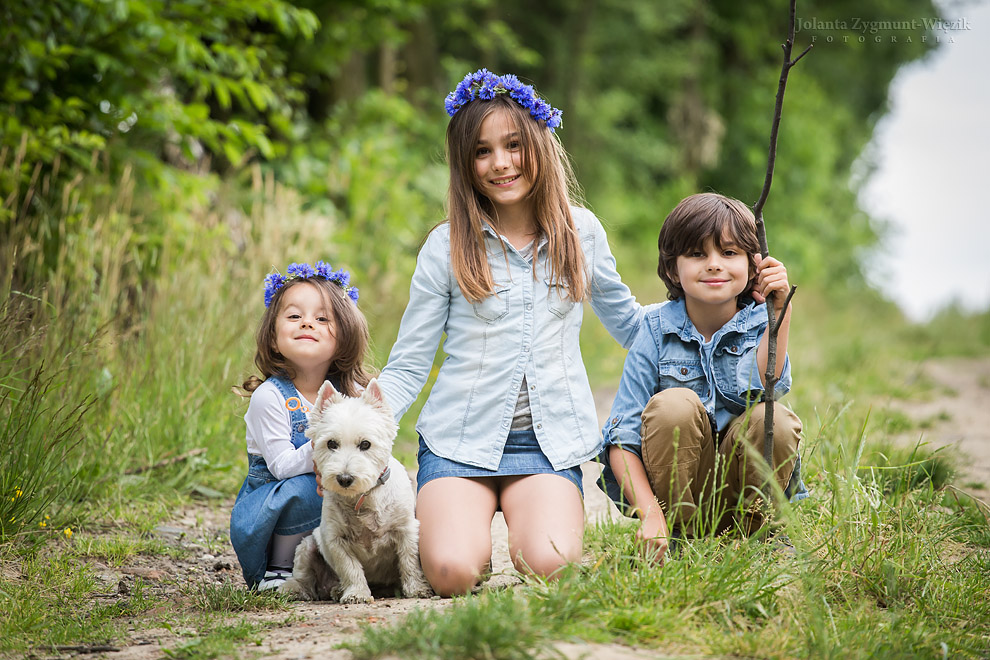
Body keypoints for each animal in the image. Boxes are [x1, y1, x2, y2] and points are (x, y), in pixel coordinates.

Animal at [280, 378, 432, 600]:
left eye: (365, 444)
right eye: (331, 443)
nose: (344, 478)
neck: (362, 496)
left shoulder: (406, 530)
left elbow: (409, 560)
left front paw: (417, 589)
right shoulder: (335, 538)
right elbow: (349, 567)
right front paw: (357, 593)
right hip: (308, 546)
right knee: (303, 575)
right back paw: (300, 589)